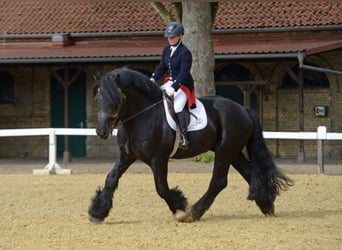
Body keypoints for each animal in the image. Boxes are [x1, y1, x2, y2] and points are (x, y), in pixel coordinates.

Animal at [88, 67, 292, 223]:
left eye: (117, 100)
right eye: (97, 99)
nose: (101, 131)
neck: (143, 115)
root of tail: (243, 109)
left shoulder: (158, 159)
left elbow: (161, 187)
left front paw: (179, 208)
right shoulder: (127, 155)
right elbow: (111, 179)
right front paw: (97, 212)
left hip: (225, 151)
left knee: (219, 181)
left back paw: (193, 213)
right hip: (233, 152)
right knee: (251, 174)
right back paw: (266, 204)